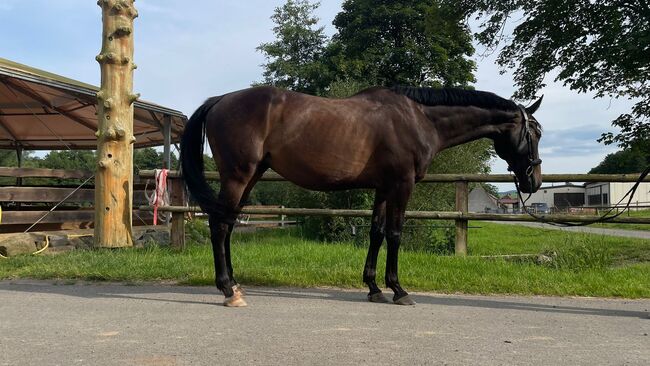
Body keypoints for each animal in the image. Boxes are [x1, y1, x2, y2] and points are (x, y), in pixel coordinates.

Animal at [178, 85, 540, 306]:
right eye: (534, 133)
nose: (533, 181)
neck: (418, 117)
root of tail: (220, 99)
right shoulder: (402, 184)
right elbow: (395, 234)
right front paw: (398, 289)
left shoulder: (384, 187)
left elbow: (376, 233)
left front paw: (374, 287)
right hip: (238, 176)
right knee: (219, 225)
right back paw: (228, 289)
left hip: (251, 176)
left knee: (227, 224)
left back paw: (234, 283)